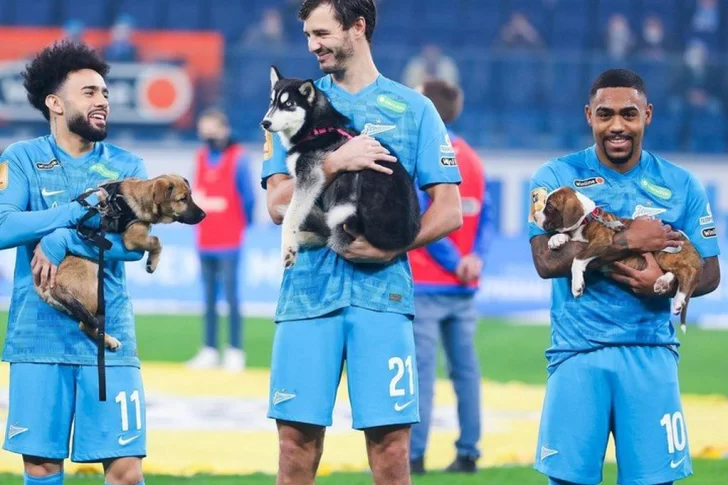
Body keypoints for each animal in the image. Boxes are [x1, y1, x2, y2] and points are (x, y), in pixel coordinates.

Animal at [37, 174, 208, 348]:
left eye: (190, 196)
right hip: (93, 295)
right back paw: (110, 341)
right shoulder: (132, 239)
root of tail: (51, 287)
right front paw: (152, 262)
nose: (204, 215)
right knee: (86, 326)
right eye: (182, 199)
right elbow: (156, 241)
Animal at [532, 185, 704, 332]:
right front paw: (556, 239)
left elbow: (577, 259)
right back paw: (662, 282)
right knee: (675, 272)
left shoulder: (602, 240)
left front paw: (576, 284)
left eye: (549, 206)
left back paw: (678, 300)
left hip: (665, 253)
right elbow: (567, 235)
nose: (534, 216)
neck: (586, 218)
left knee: (687, 271)